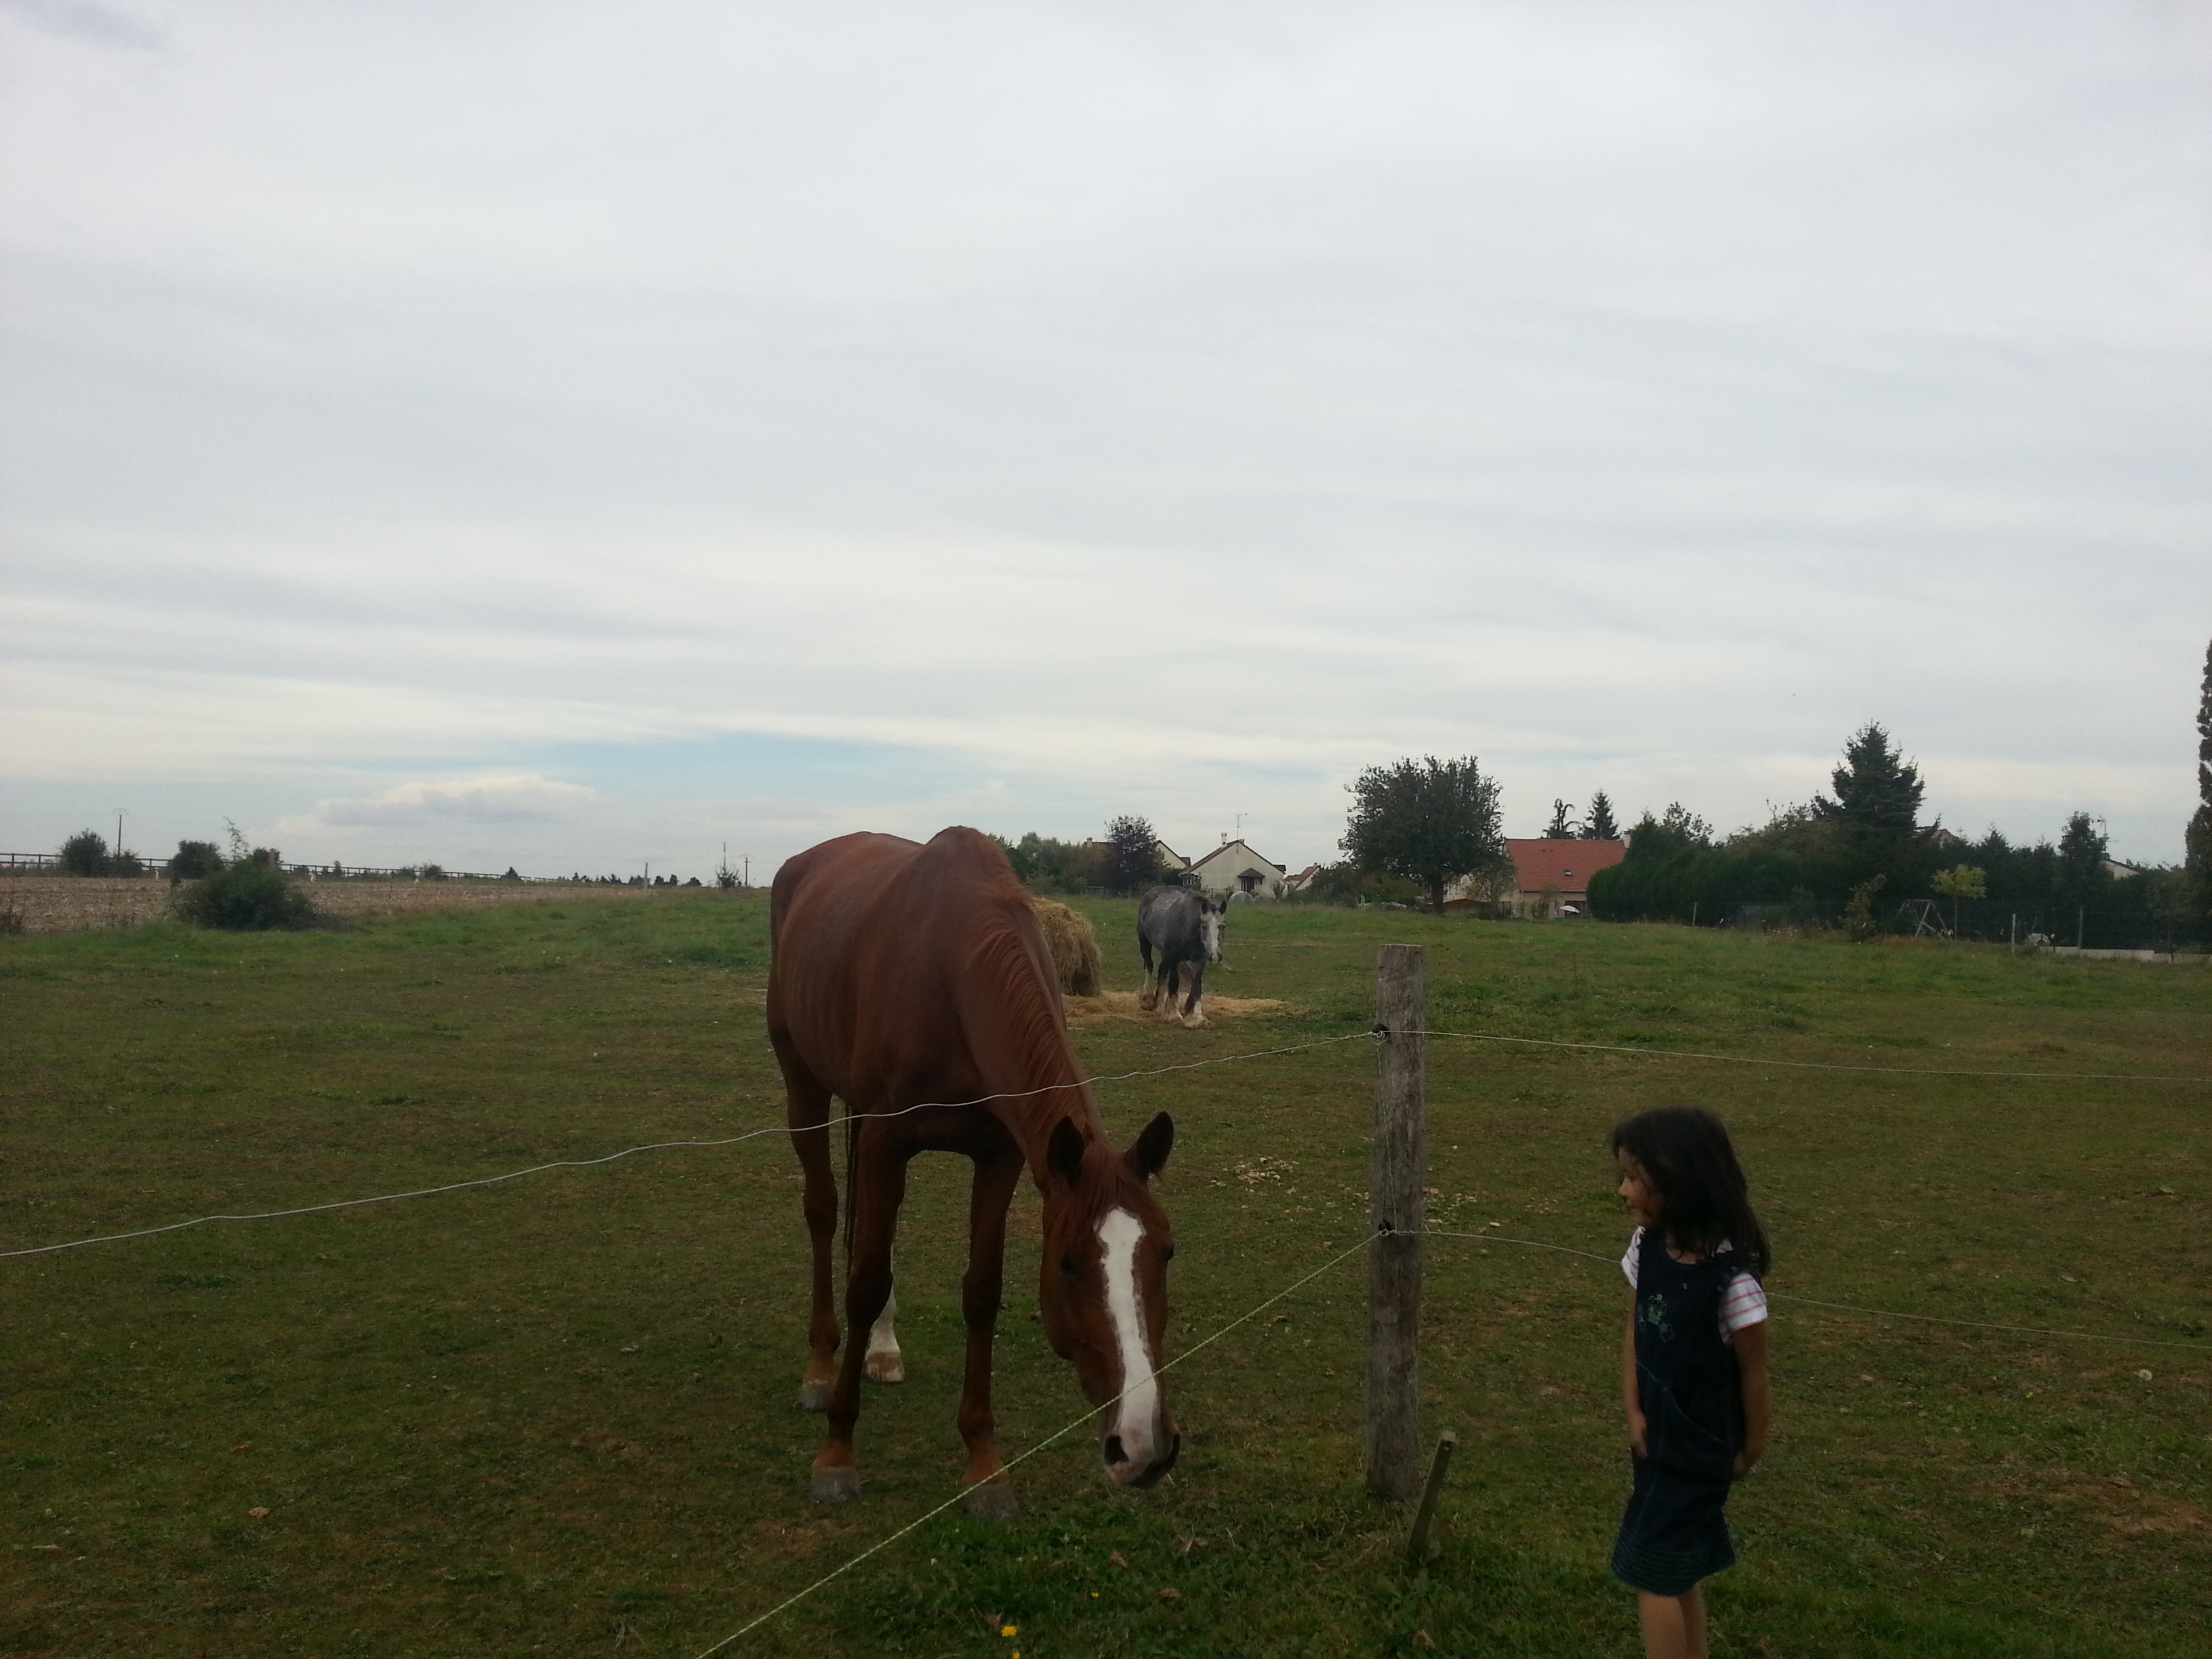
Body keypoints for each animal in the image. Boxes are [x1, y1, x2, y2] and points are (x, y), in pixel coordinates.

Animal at [765, 832, 1176, 1521]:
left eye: (1167, 1254)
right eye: (1068, 1264)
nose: (1143, 1447)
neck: (952, 975)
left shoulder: (999, 1156)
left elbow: (981, 1292)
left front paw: (985, 1465)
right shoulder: (887, 1142)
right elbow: (865, 1283)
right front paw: (837, 1454)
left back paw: (881, 1349)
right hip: (805, 1084)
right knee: (824, 1213)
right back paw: (822, 1368)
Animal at [1141, 889, 1229, 1035]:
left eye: (1222, 926)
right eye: (1204, 926)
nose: (1215, 957)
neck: (1188, 927)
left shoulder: (1200, 960)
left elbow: (1197, 986)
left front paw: (1196, 1017)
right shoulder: (1174, 958)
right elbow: (1174, 983)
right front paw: (1173, 1015)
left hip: (1165, 954)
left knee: (1162, 971)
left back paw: (1159, 1005)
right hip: (1145, 943)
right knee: (1149, 965)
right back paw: (1146, 998)